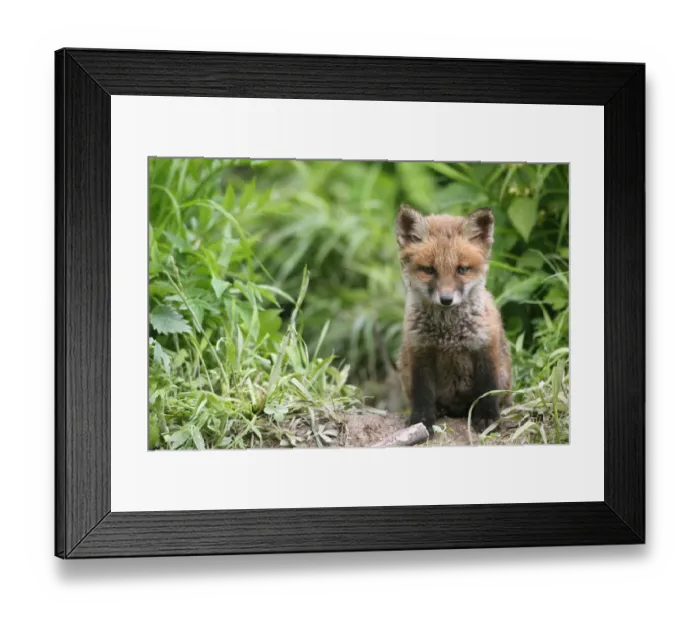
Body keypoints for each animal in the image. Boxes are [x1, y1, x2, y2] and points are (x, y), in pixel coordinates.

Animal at [395, 204, 512, 433]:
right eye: (429, 270)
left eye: (462, 269)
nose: (446, 300)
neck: (448, 335)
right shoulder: (420, 351)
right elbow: (423, 394)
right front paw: (422, 421)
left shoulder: (485, 347)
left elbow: (487, 389)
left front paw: (487, 418)